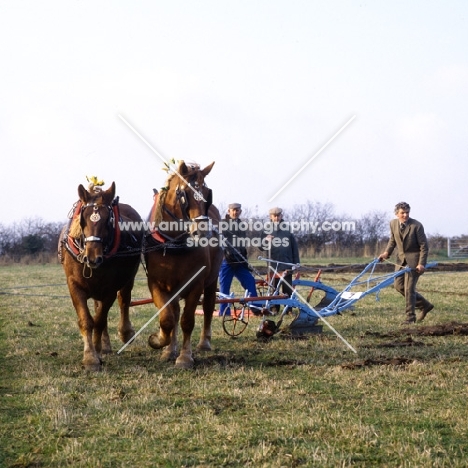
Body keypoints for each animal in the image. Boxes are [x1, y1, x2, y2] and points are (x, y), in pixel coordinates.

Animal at [60, 182, 144, 370]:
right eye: (83, 218)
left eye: (108, 220)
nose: (92, 257)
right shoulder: (75, 286)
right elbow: (87, 320)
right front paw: (90, 357)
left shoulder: (110, 290)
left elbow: (99, 320)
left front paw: (96, 350)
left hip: (128, 277)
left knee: (123, 301)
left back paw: (125, 332)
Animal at [144, 161, 223, 370]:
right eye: (184, 193)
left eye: (207, 192)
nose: (202, 231)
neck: (173, 245)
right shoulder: (156, 284)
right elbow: (167, 318)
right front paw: (161, 342)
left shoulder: (195, 284)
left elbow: (187, 321)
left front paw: (185, 357)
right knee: (174, 312)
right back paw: (170, 347)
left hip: (211, 281)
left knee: (209, 306)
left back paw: (204, 342)